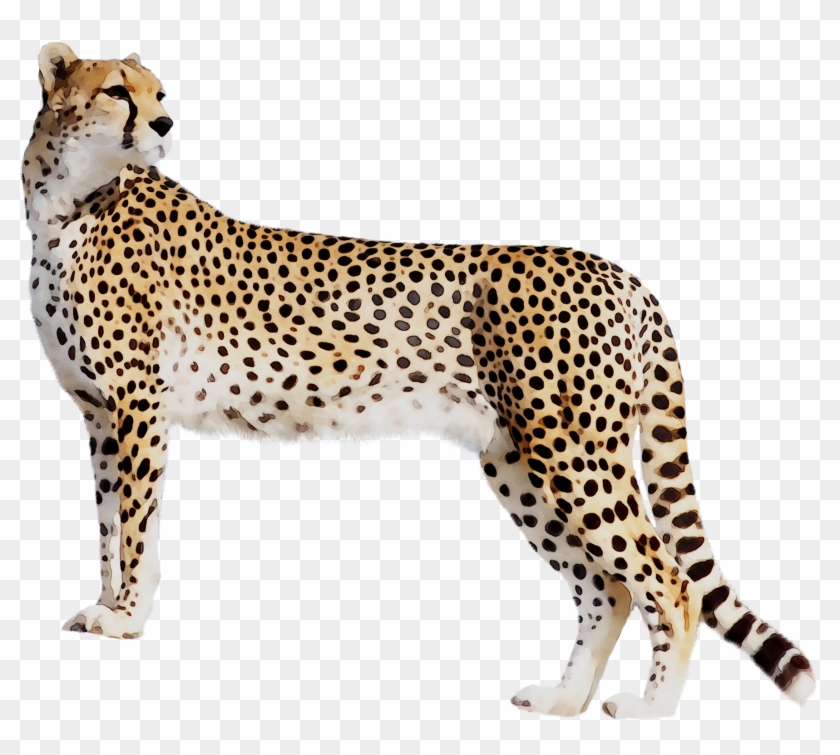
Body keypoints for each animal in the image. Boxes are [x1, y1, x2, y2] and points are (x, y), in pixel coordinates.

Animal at [22, 43, 816, 719]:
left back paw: (654, 709)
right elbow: (109, 523)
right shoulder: (98, 413)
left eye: (159, 92)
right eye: (117, 90)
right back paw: (563, 700)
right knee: (608, 588)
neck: (65, 201)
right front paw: (106, 607)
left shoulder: (136, 405)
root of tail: (622, 274)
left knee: (670, 582)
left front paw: (127, 619)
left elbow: (135, 526)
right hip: (516, 460)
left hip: (573, 453)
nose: (164, 123)